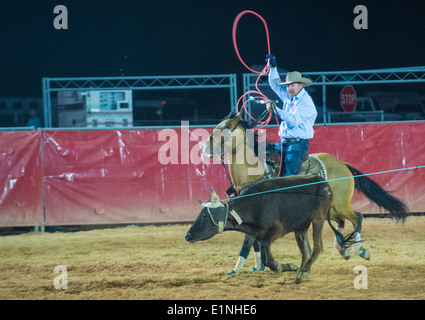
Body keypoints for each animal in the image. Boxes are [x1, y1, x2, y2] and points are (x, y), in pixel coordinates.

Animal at [186, 175, 334, 284]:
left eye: (205, 215)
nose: (187, 235)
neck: (254, 205)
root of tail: (322, 181)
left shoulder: (277, 230)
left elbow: (266, 253)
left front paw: (279, 266)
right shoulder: (256, 234)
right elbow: (260, 255)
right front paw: (286, 266)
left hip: (318, 217)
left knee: (318, 247)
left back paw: (304, 272)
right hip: (301, 227)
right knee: (306, 252)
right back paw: (299, 274)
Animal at [202, 110, 408, 276]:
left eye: (226, 127)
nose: (205, 147)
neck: (256, 172)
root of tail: (342, 164)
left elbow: (248, 240)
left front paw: (240, 268)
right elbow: (252, 240)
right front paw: (253, 266)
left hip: (341, 204)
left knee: (357, 217)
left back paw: (360, 250)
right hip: (330, 208)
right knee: (342, 221)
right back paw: (343, 248)